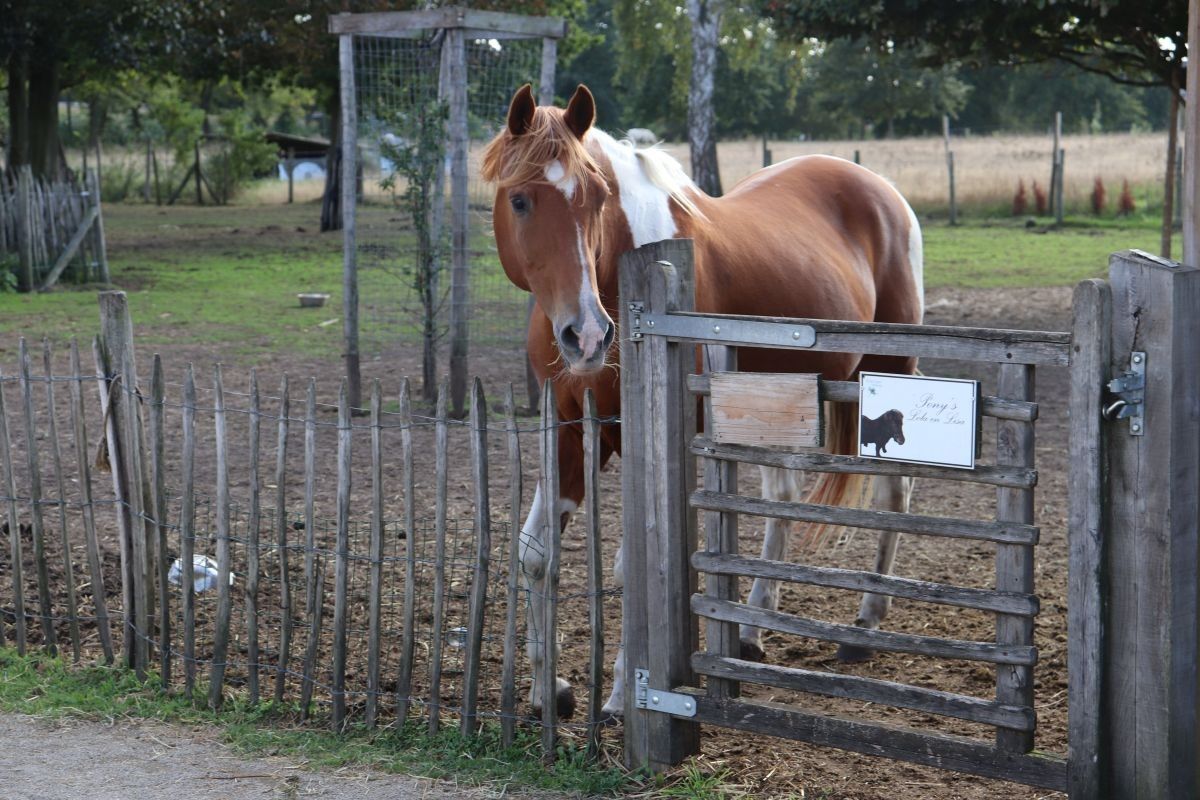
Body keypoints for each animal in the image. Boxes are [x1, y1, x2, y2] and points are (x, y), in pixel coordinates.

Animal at [480, 84, 926, 714]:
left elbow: (638, 563)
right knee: (783, 500)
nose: (586, 336)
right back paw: (752, 631)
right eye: (519, 200)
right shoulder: (568, 432)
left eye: (597, 198)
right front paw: (549, 692)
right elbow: (536, 554)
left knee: (893, 491)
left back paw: (863, 627)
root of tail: (882, 189)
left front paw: (622, 697)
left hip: (890, 370)